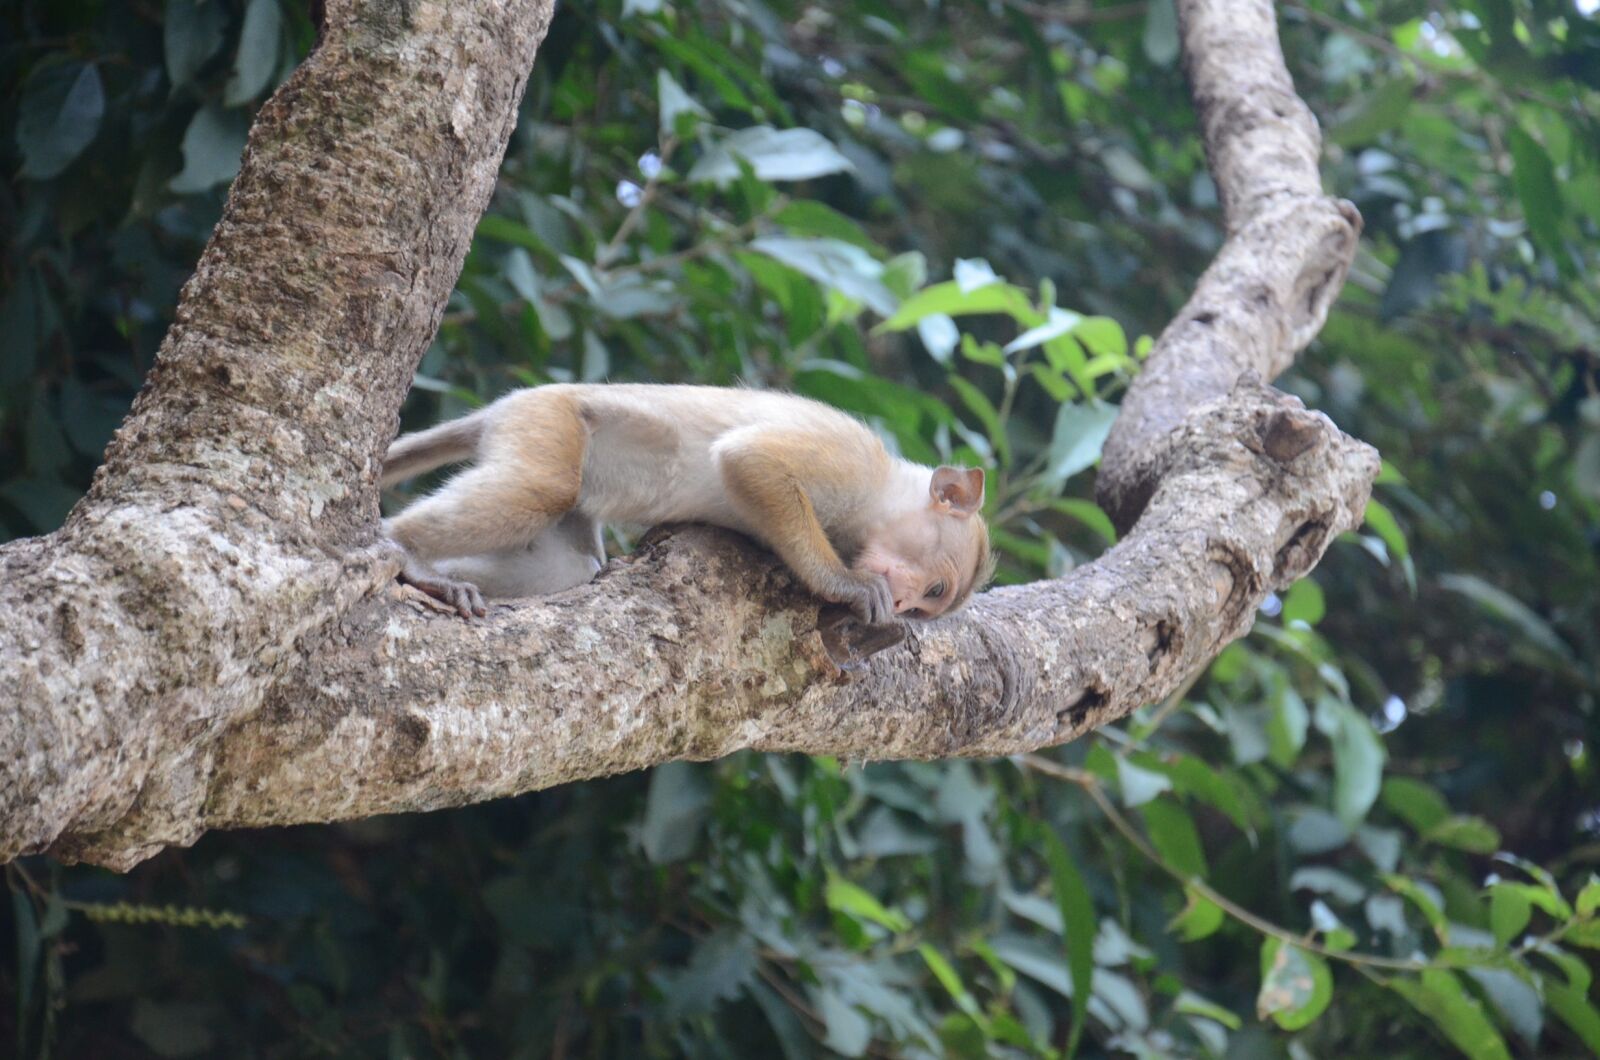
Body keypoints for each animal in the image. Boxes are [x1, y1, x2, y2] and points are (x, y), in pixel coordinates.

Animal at [381, 383, 995, 623]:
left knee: (574, 563)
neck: (882, 500)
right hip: (547, 420)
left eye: (927, 605)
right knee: (542, 488)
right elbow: (752, 460)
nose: (908, 600)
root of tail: (507, 403)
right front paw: (844, 585)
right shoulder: (851, 465)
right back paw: (406, 551)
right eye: (935, 590)